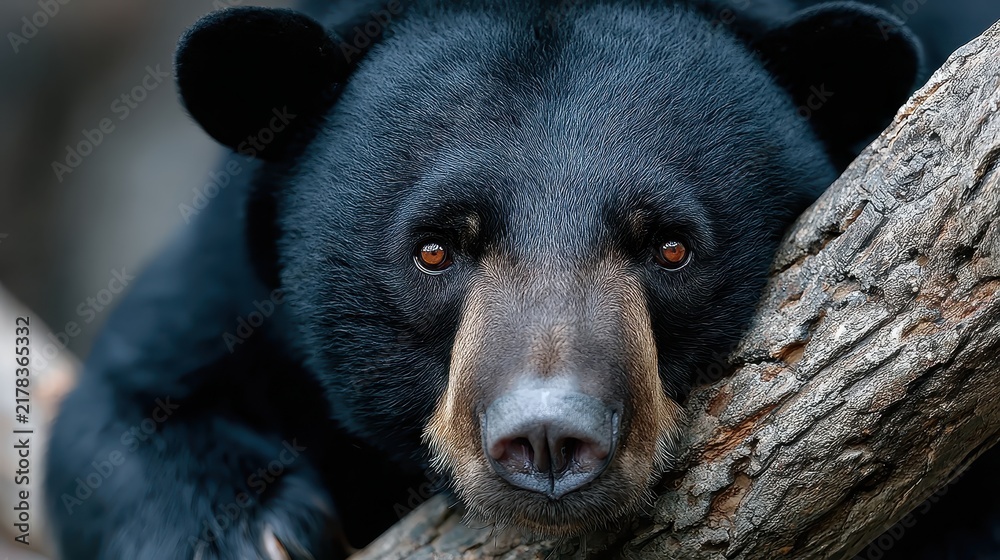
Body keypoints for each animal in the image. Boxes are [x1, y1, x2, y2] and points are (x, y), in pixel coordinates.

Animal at [45, 1, 923, 558]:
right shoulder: (232, 277)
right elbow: (120, 406)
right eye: (435, 250)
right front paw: (256, 535)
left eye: (671, 249)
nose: (548, 438)